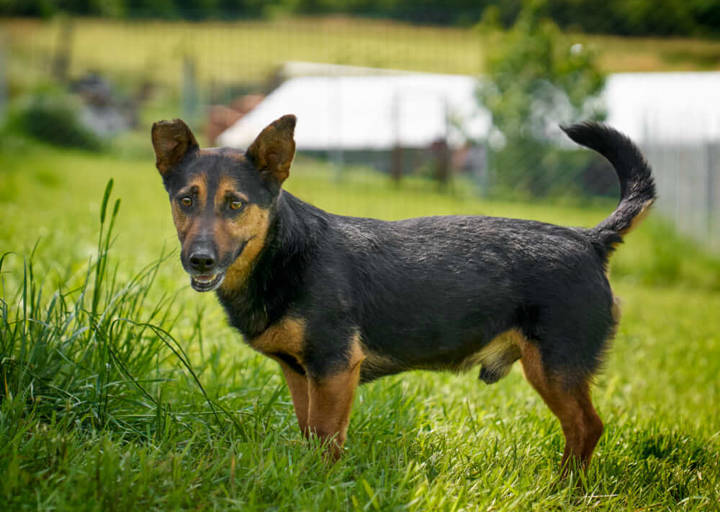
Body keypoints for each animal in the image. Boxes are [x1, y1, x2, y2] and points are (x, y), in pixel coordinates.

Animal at [151, 115, 655, 470]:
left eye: (235, 204)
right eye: (185, 201)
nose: (200, 261)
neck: (282, 253)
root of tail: (589, 239)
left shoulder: (334, 369)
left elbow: (328, 438)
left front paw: (319, 483)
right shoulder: (301, 373)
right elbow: (310, 433)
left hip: (555, 369)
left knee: (587, 429)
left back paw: (566, 488)